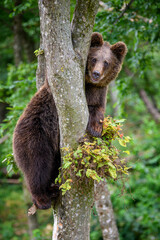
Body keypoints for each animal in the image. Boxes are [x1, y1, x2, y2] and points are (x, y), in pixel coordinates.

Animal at [13, 32, 127, 210]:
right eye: (94, 58)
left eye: (106, 62)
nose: (96, 74)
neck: (88, 84)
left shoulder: (98, 92)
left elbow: (97, 109)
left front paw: (95, 128)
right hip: (34, 135)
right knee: (37, 166)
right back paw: (42, 199)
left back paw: (52, 190)